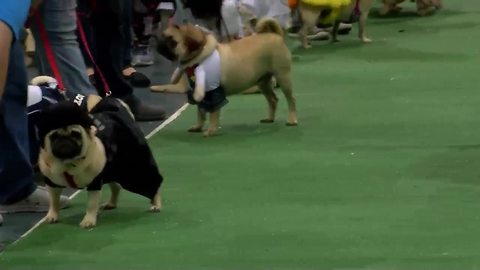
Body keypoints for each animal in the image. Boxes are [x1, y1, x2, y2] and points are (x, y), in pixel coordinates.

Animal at [153, 17, 296, 136]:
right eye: (163, 36)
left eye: (172, 41)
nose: (158, 43)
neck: (199, 58)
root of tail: (275, 35)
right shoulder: (201, 93)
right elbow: (200, 112)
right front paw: (198, 127)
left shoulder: (213, 93)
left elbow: (213, 113)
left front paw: (211, 130)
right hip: (263, 82)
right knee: (273, 100)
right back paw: (270, 118)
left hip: (283, 77)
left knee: (291, 100)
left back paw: (292, 120)